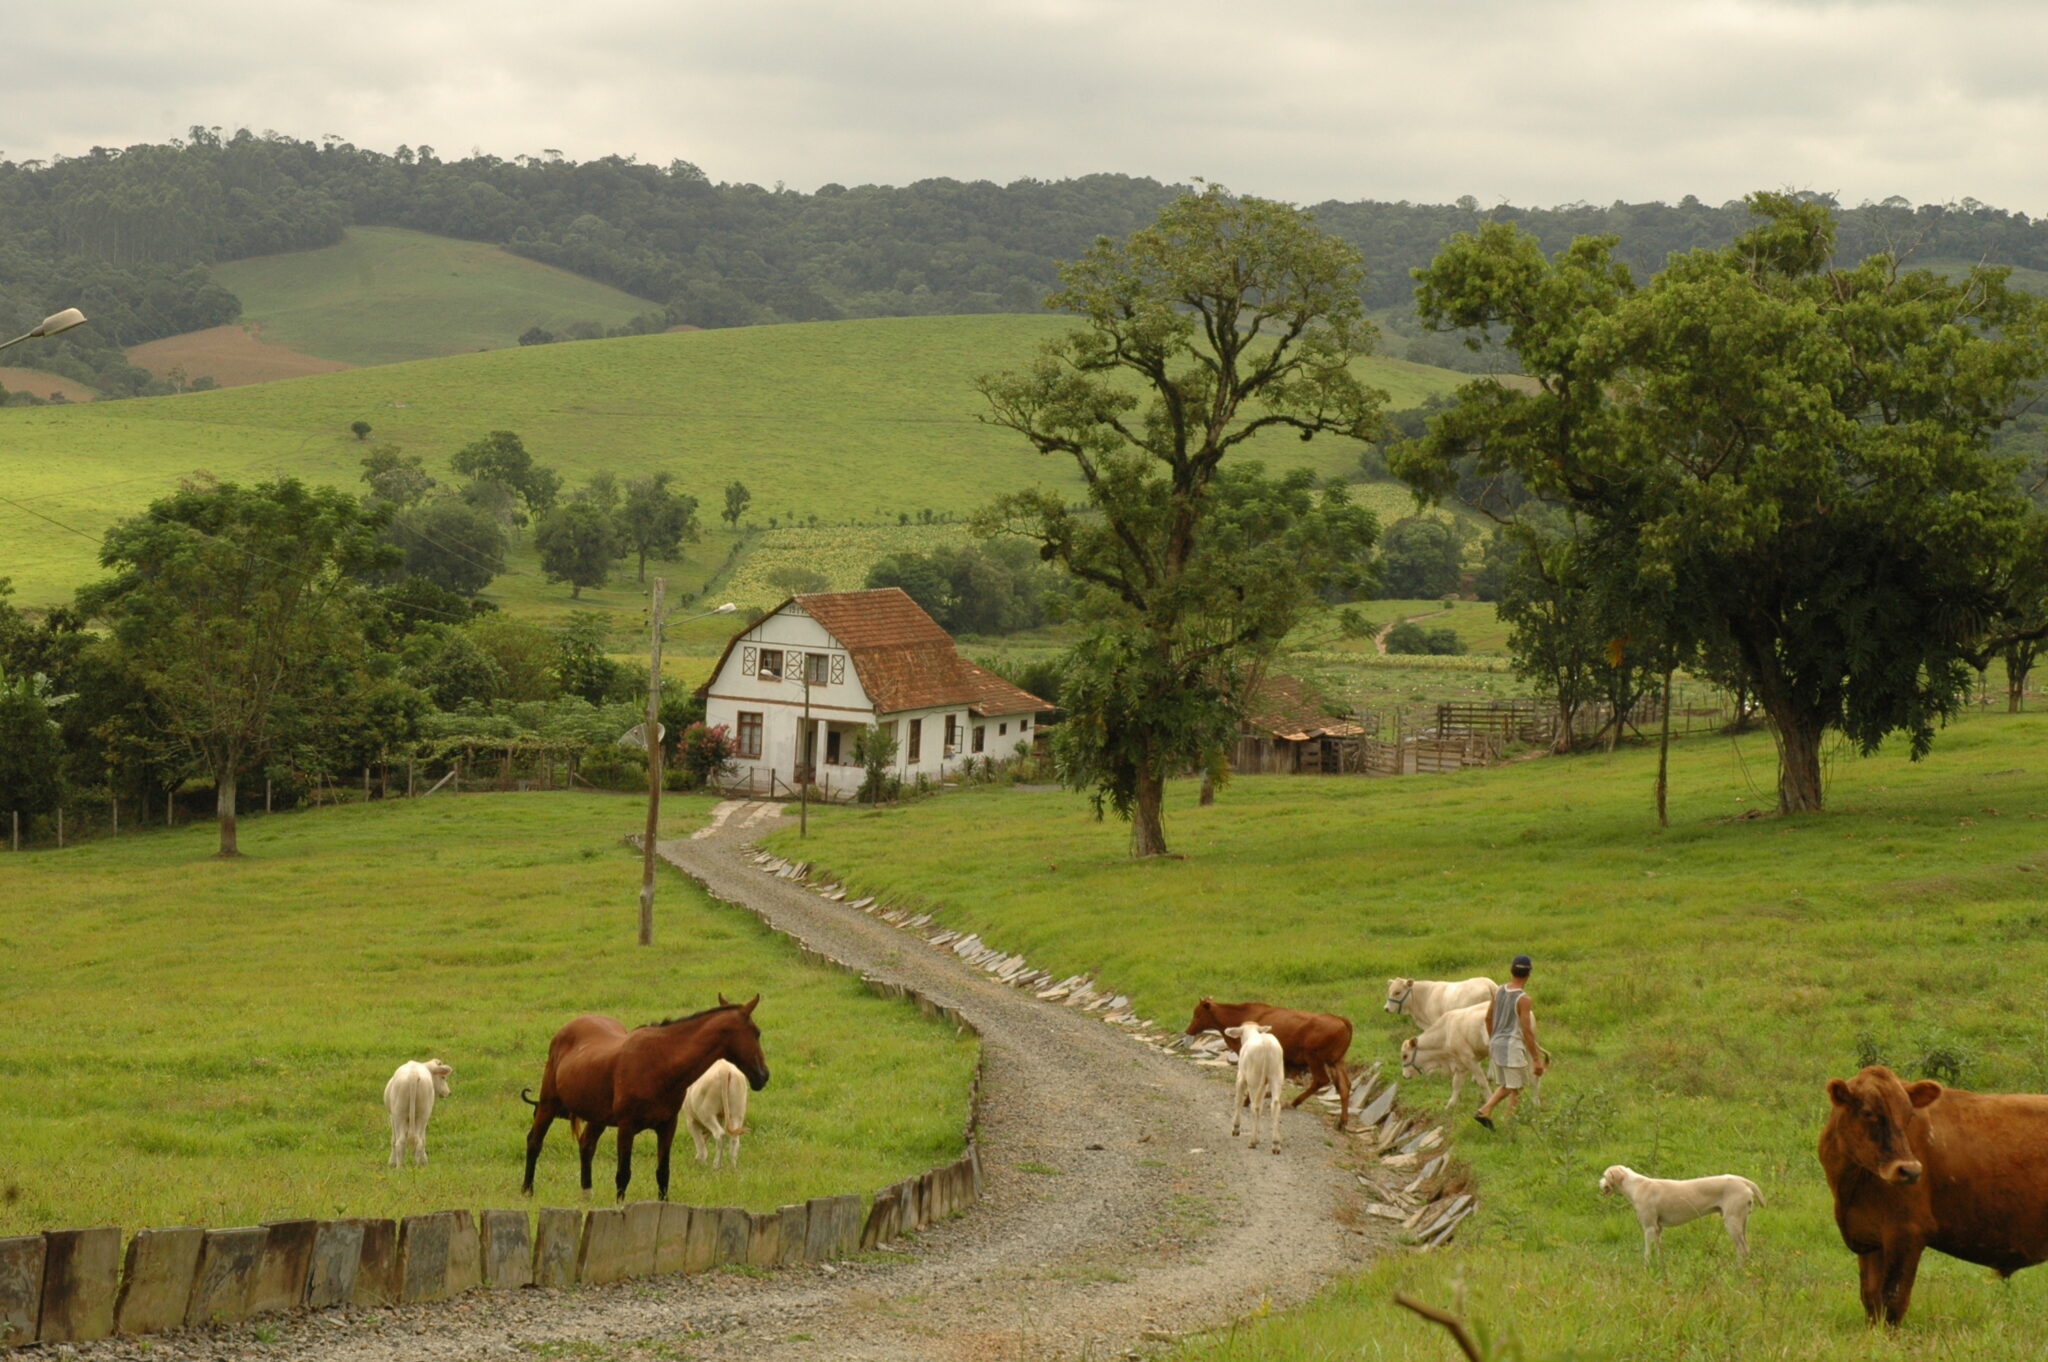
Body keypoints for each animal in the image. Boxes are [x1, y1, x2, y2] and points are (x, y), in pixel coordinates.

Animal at [520, 987, 770, 1204]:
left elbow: (663, 1172)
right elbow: (623, 1173)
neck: (659, 1063)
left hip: (597, 1117)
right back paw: (527, 1191)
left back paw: (586, 1195)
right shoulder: (626, 1127)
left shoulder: (667, 1126)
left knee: (586, 1145)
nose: (764, 1075)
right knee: (535, 1141)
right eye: (757, 1033)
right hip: (548, 1103)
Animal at [1187, 999, 1359, 1122]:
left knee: (1321, 1080)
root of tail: (1339, 1019)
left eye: (1197, 1015)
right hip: (1336, 1062)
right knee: (1345, 1086)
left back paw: (1294, 1102)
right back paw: (1342, 1122)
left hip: (1315, 1059)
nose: (1188, 1030)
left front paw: (1248, 1100)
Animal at [1220, 1015, 1286, 1155]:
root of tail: (1266, 1044)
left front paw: (1236, 1128)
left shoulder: (1241, 1077)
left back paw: (1252, 1141)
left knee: (1254, 1106)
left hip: (1254, 1077)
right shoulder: (1265, 1085)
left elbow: (1238, 1101)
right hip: (1276, 1076)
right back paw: (1276, 1144)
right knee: (1275, 1105)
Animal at [1597, 1163, 1761, 1261]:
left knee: (1742, 1249)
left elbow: (1647, 1252)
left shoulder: (1649, 1227)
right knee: (1746, 1248)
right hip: (1742, 1222)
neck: (1636, 1186)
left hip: (1732, 1222)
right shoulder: (1658, 1228)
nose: (1599, 1184)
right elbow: (1658, 1249)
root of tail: (1743, 1181)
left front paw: (1646, 1267)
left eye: (1604, 1175)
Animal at [1826, 1065, 2048, 1318]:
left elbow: (1893, 1301)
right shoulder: (1870, 1239)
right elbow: (1872, 1301)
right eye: (1867, 1112)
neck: (1851, 1185)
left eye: (1909, 1115)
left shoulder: (1907, 1231)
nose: (1910, 1171)